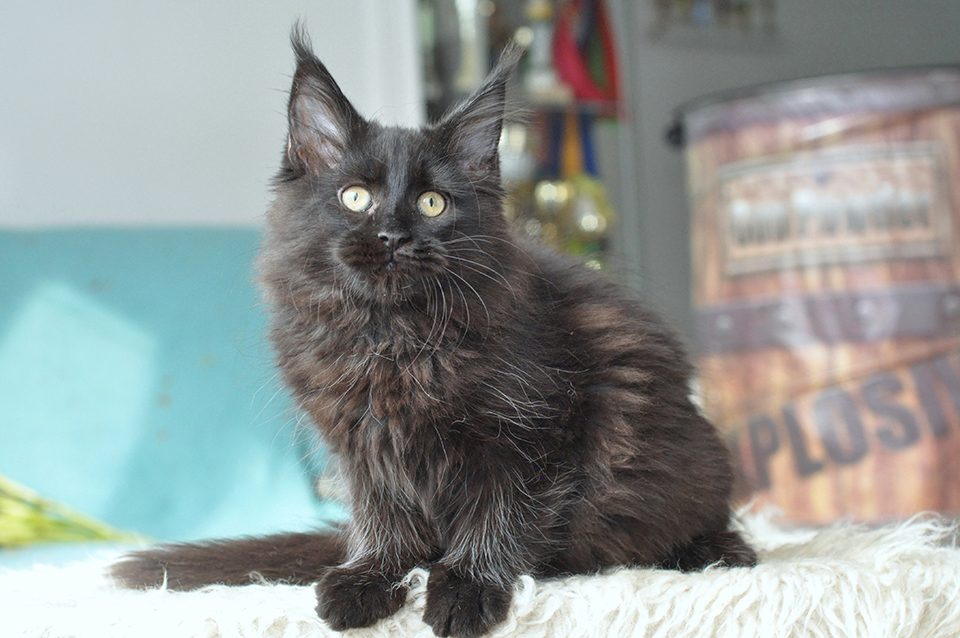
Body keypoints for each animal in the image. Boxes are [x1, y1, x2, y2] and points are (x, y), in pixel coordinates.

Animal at [112, 28, 756, 638]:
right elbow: (384, 522)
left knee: (702, 514)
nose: (394, 236)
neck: (391, 336)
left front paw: (468, 587)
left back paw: (717, 550)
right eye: (355, 197)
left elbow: (501, 516)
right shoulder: (364, 448)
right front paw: (371, 578)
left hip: (690, 465)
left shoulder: (535, 434)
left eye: (432, 203)